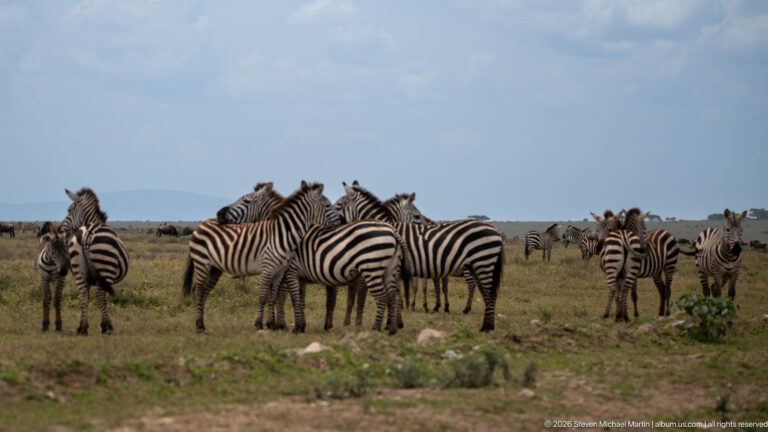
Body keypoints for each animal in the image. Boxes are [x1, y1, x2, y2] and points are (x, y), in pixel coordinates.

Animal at [59, 188, 129, 335]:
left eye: (69, 210)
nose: (59, 230)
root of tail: (87, 232)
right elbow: (102, 297)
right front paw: (103, 325)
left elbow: (86, 295)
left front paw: (81, 324)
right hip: (105, 267)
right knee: (100, 295)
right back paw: (108, 327)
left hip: (78, 268)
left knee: (83, 295)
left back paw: (83, 329)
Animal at [181, 181, 341, 333]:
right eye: (328, 205)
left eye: (246, 201)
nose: (219, 214)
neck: (282, 234)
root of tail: (200, 225)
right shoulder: (272, 269)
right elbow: (267, 295)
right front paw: (265, 324)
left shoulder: (280, 271)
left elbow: (275, 296)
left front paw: (274, 324)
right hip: (203, 263)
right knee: (198, 290)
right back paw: (199, 324)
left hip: (214, 268)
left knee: (204, 291)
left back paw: (202, 324)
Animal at [336, 183, 505, 332]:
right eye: (417, 216)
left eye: (337, 205)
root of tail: (495, 229)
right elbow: (396, 295)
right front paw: (395, 322)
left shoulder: (395, 269)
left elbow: (395, 296)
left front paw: (394, 323)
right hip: (479, 265)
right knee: (487, 293)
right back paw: (487, 325)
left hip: (483, 262)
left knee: (488, 293)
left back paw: (486, 326)